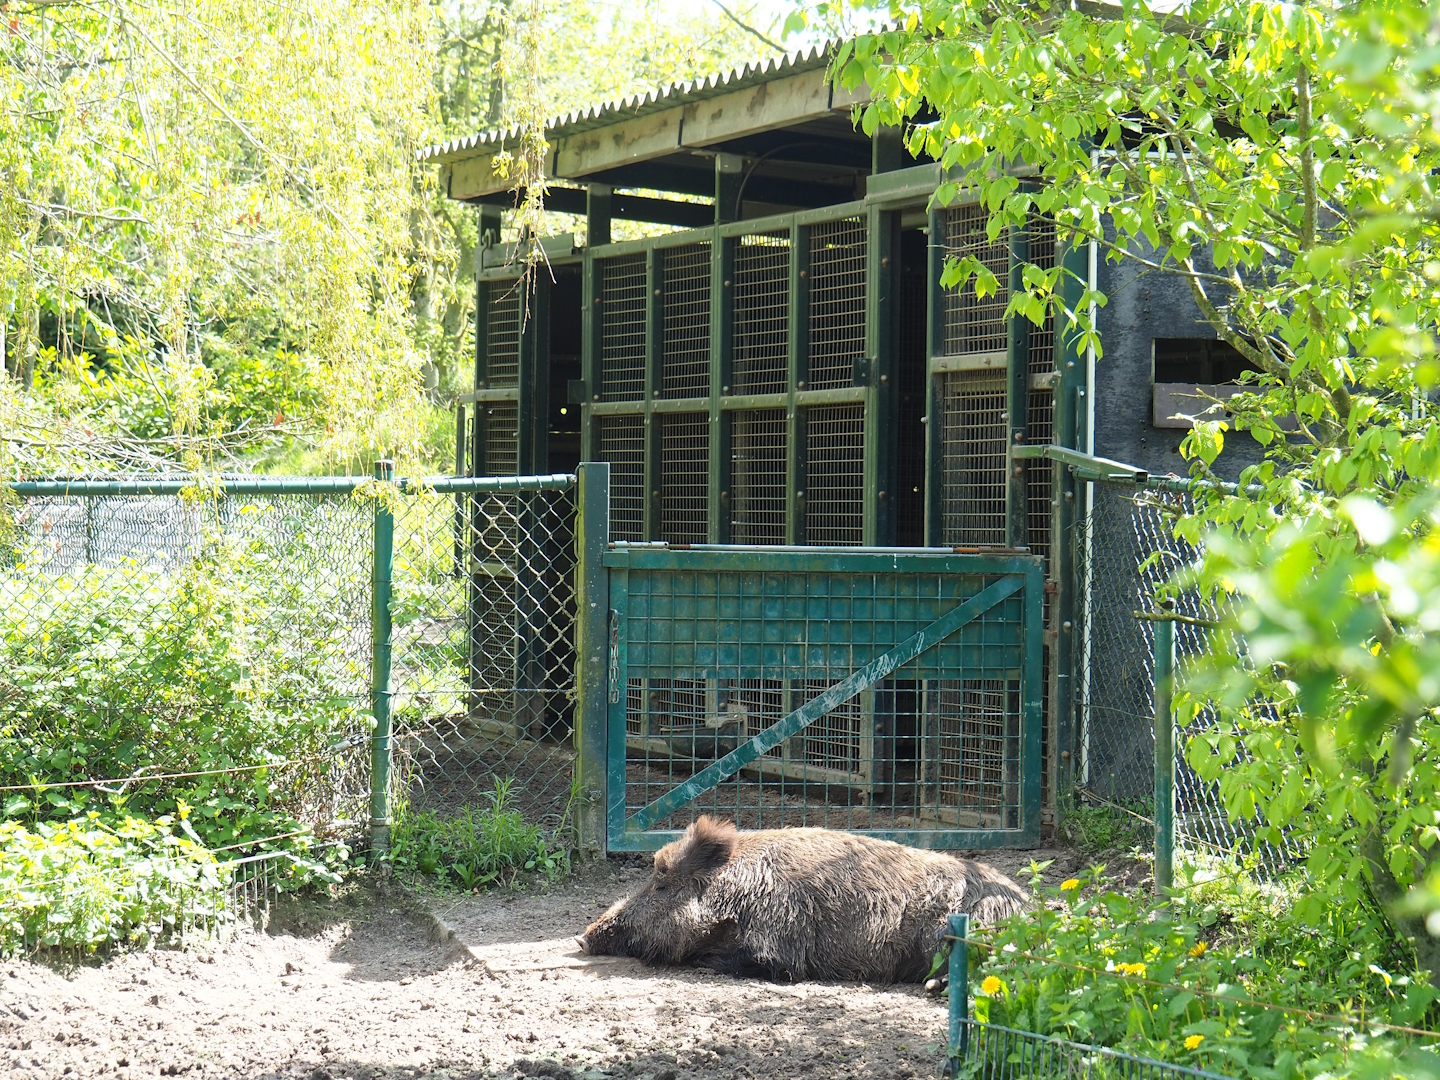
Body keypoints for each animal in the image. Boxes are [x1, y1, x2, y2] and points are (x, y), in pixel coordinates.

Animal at [576, 816, 1028, 983]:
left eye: (661, 884)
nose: (581, 937)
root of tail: (1028, 907)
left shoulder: (781, 944)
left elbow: (754, 962)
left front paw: (703, 962)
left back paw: (937, 985)